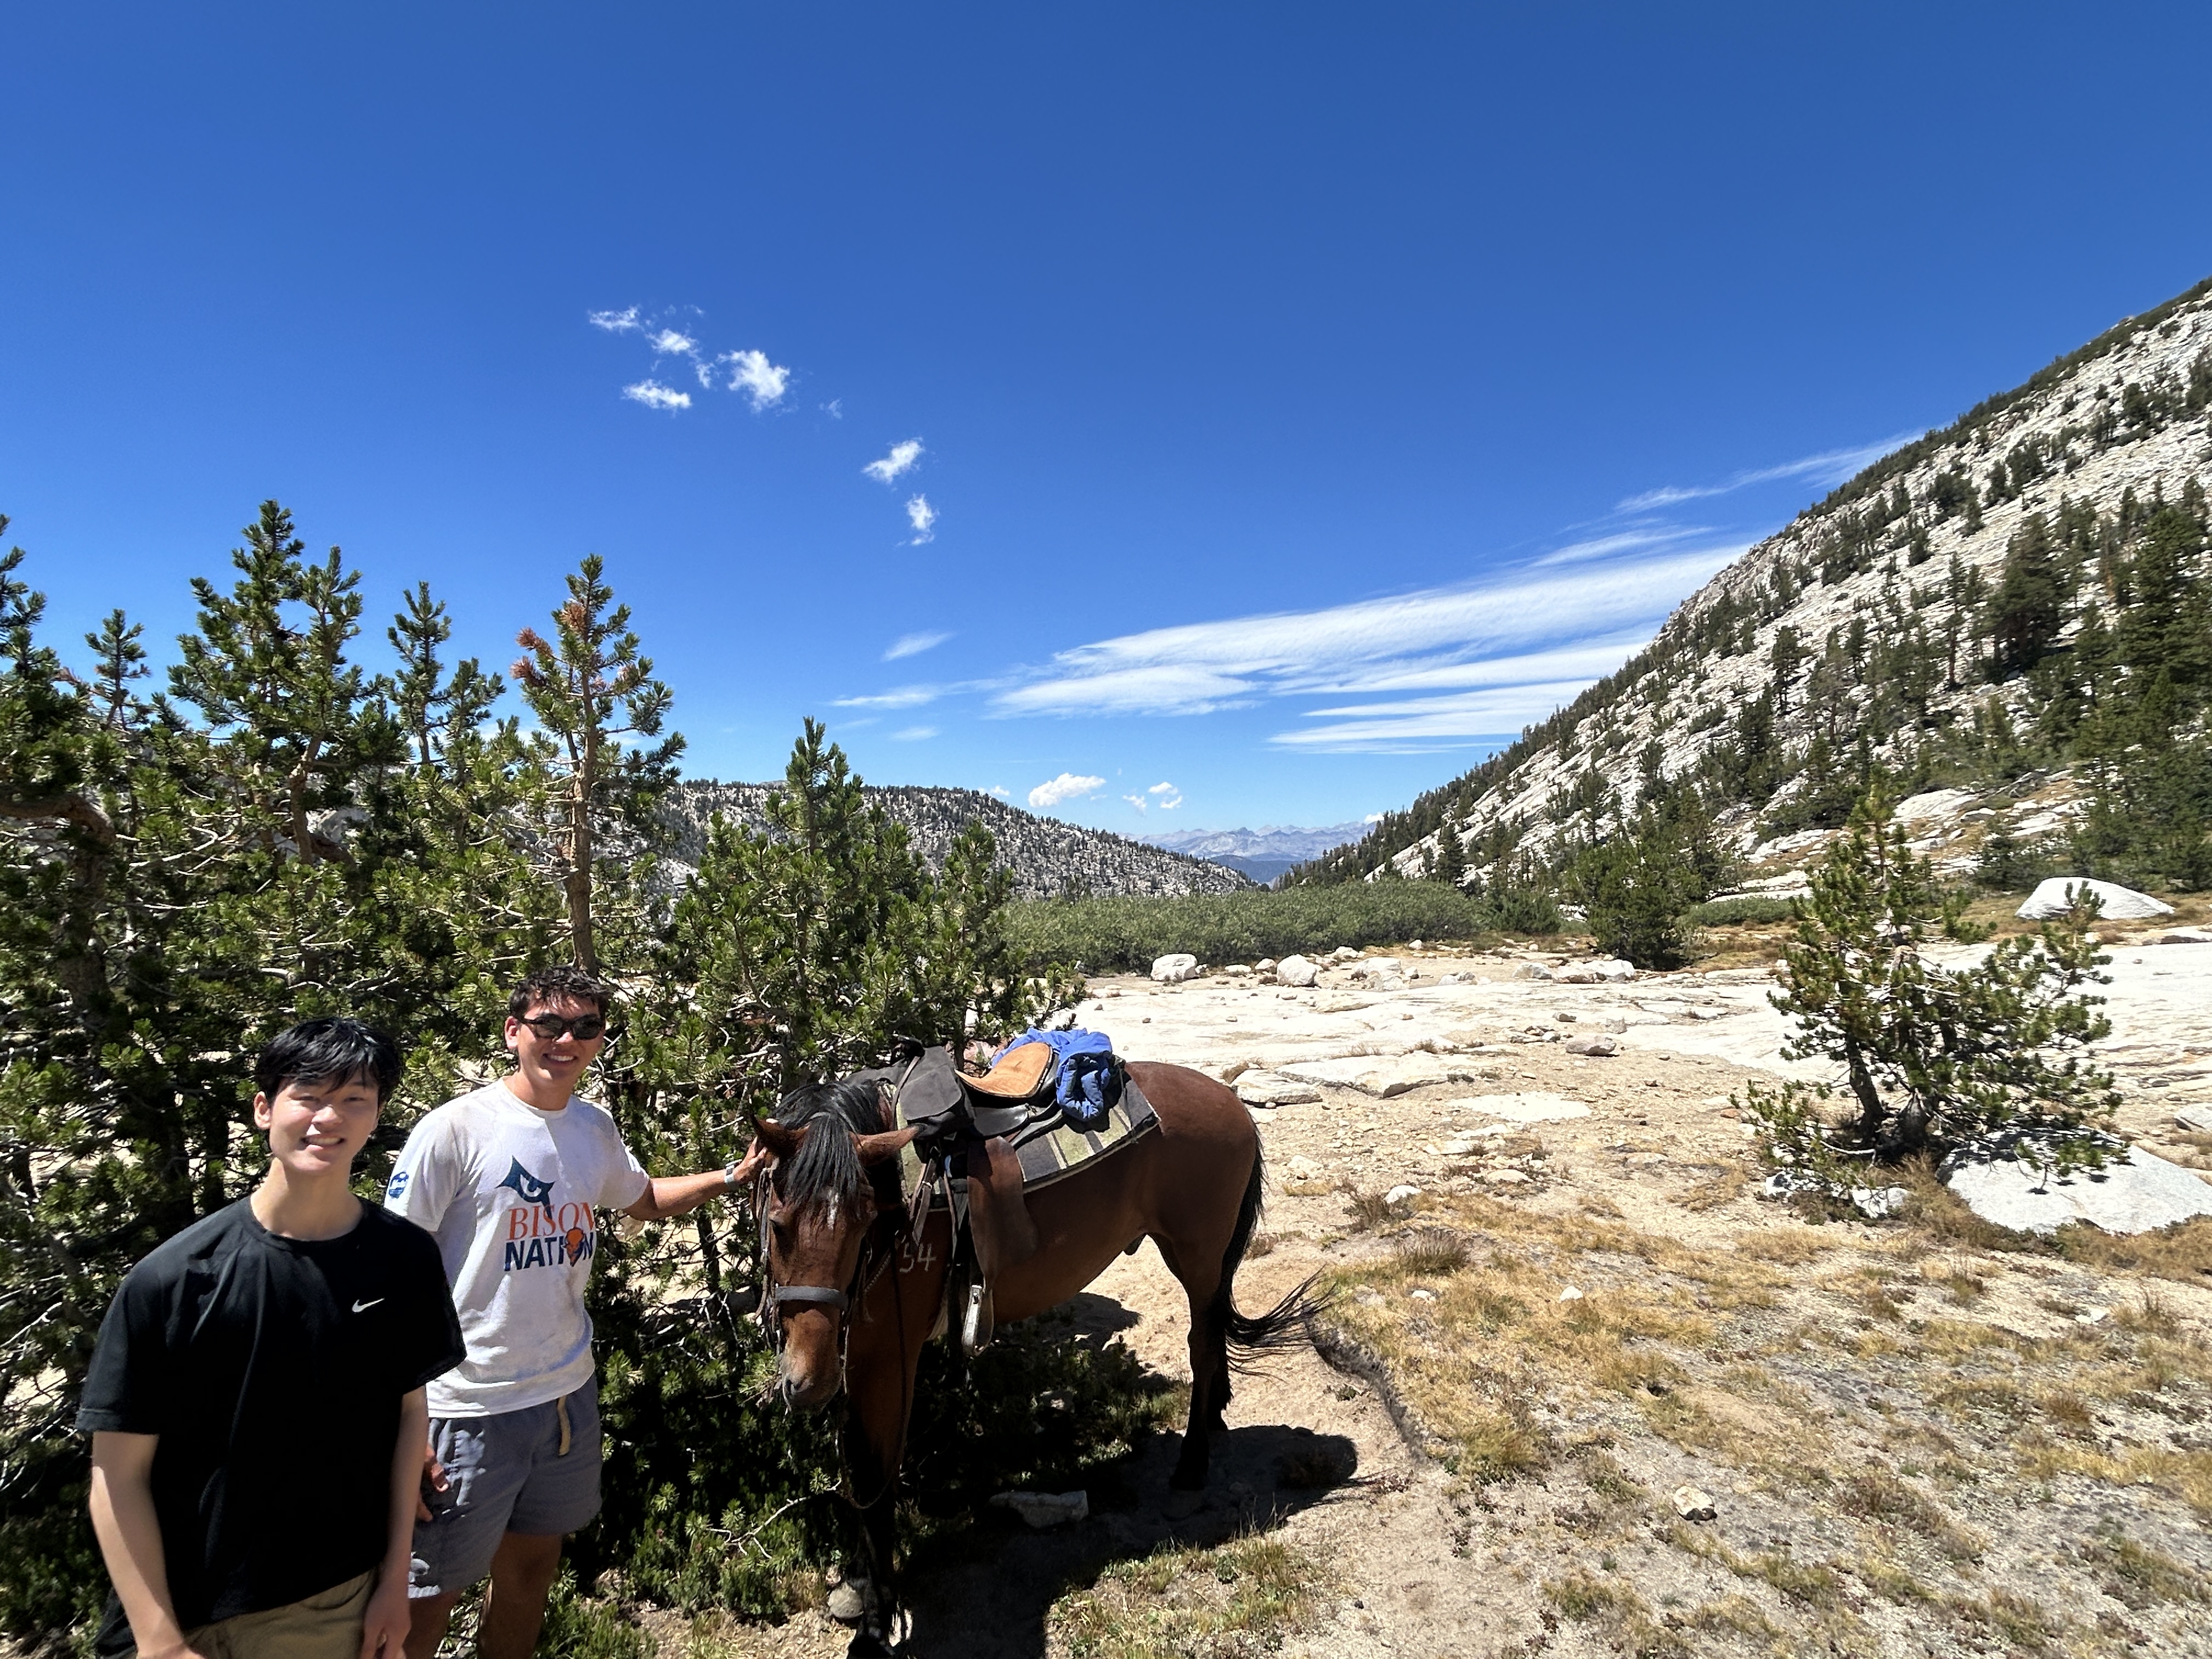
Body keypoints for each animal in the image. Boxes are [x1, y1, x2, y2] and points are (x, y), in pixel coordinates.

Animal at [748, 1059, 1321, 1655]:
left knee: (1202, 1344)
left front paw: (877, 1624)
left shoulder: (888, 1361)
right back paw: (1213, 1419)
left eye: (862, 1222)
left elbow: (874, 1484)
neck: (899, 1213)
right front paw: (862, 1587)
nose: (807, 1382)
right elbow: (857, 1480)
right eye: (778, 1223)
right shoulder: (854, 1359)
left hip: (1197, 1255)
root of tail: (1231, 1103)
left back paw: (1191, 1465)